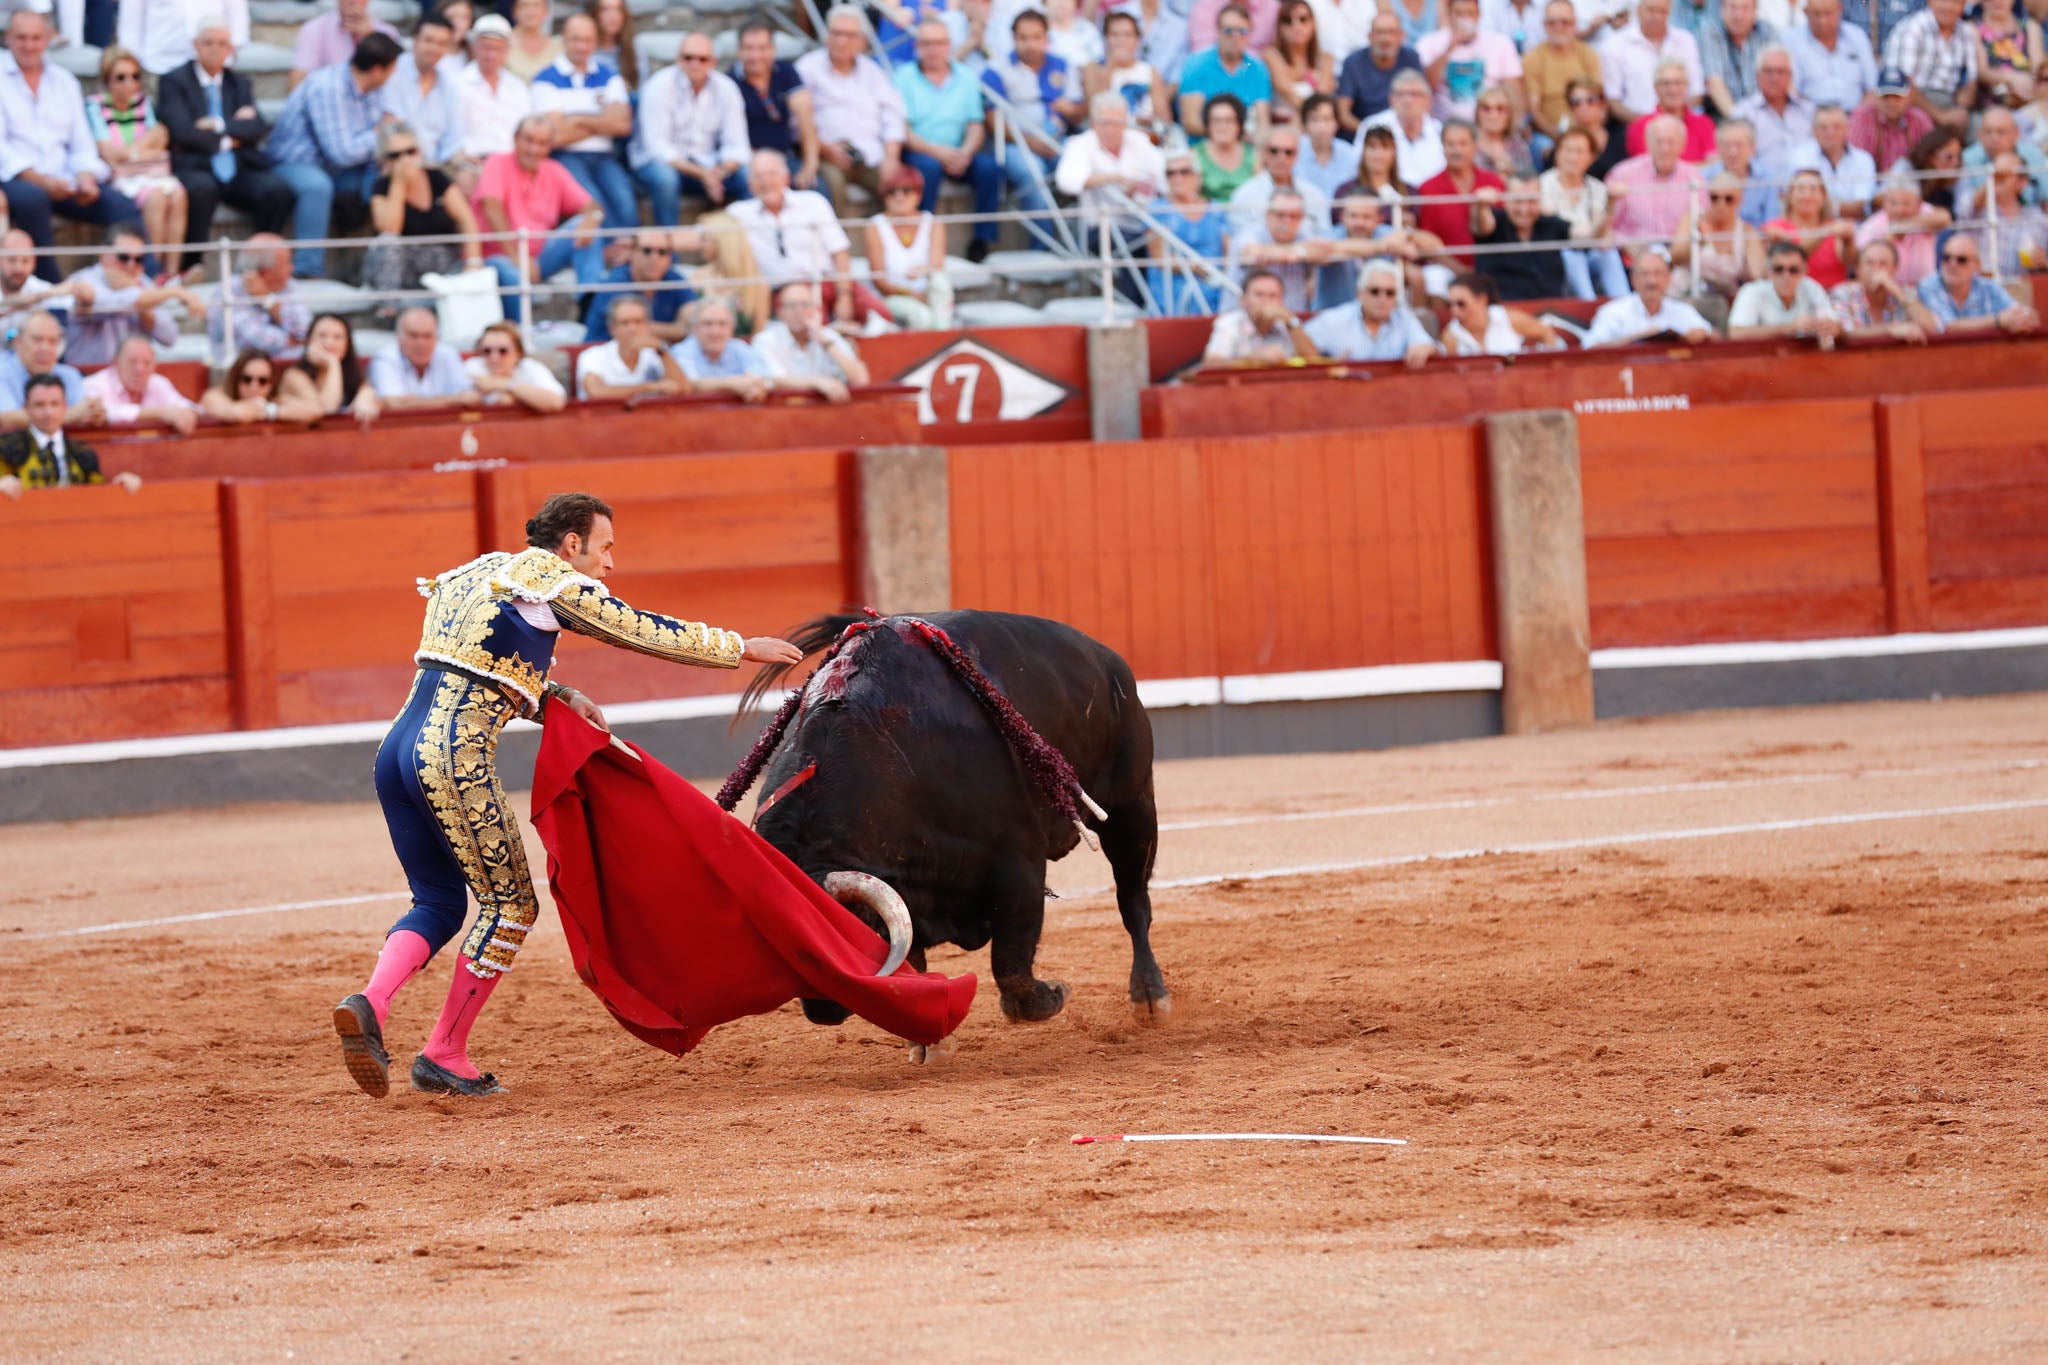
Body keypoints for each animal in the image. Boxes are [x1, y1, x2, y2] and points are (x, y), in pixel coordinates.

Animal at [737, 609, 1171, 1035]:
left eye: (849, 935)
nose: (823, 1011)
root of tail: (1107, 659)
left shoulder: (1018, 867)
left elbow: (1011, 963)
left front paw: (1053, 995)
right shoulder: (905, 894)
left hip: (1132, 805)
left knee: (1133, 899)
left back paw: (1151, 996)